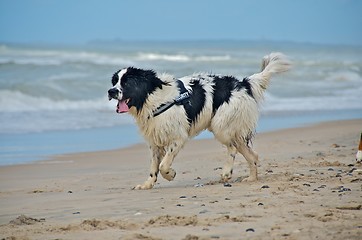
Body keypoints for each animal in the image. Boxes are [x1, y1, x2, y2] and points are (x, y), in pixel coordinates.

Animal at [107, 52, 292, 189]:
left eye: (127, 82)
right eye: (115, 81)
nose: (111, 91)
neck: (152, 98)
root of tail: (243, 83)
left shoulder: (178, 138)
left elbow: (163, 166)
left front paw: (171, 174)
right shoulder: (155, 142)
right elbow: (154, 167)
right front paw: (147, 184)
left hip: (221, 126)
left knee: (232, 148)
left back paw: (227, 172)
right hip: (233, 129)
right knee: (252, 155)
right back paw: (251, 179)